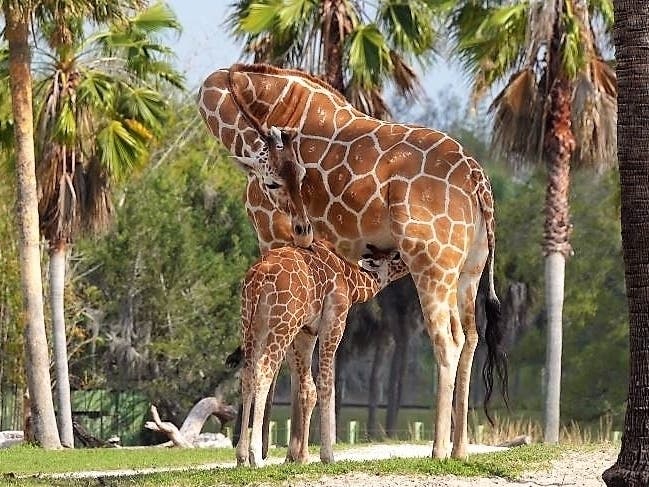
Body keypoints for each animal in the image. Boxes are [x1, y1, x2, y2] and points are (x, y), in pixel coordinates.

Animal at [237, 240, 408, 467]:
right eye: (396, 256)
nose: (408, 261)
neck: (351, 282)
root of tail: (258, 277)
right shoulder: (333, 321)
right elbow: (325, 384)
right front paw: (327, 455)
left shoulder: (306, 331)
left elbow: (307, 389)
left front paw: (301, 457)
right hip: (282, 323)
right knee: (263, 372)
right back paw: (256, 456)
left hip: (251, 325)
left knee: (247, 374)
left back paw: (241, 456)